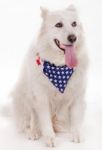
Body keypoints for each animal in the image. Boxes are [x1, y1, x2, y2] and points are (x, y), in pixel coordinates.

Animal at [11, 5, 88, 147]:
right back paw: (34, 131)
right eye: (58, 25)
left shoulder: (77, 95)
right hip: (23, 95)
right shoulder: (41, 98)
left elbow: (75, 119)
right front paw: (50, 138)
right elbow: (45, 122)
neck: (59, 65)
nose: (73, 38)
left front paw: (76, 134)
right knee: (28, 121)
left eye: (74, 24)